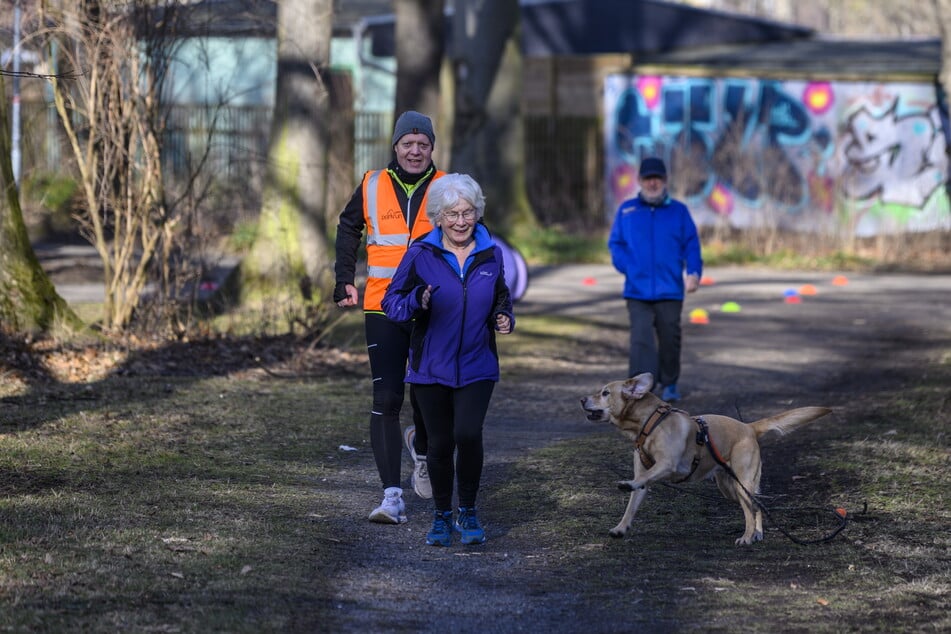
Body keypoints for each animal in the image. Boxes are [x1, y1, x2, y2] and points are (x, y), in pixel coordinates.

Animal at [576, 370, 828, 544]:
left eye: (605, 393)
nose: (581, 400)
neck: (650, 423)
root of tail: (749, 427)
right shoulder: (644, 475)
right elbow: (632, 504)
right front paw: (621, 527)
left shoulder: (667, 464)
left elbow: (642, 478)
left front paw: (626, 484)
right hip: (729, 489)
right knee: (756, 507)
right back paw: (756, 533)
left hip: (743, 482)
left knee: (750, 509)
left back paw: (747, 536)